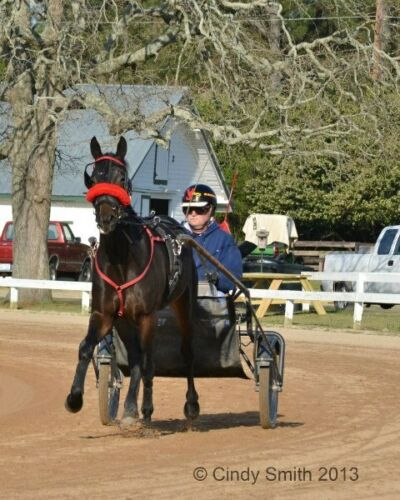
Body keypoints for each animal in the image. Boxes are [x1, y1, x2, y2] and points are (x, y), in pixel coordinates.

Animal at [65, 136, 200, 425]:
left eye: (121, 177)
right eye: (95, 177)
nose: (106, 216)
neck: (121, 259)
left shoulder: (147, 316)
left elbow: (150, 361)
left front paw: (144, 408)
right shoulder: (104, 314)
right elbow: (86, 347)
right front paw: (75, 398)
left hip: (184, 303)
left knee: (185, 351)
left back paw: (190, 404)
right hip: (125, 321)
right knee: (137, 355)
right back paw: (131, 406)